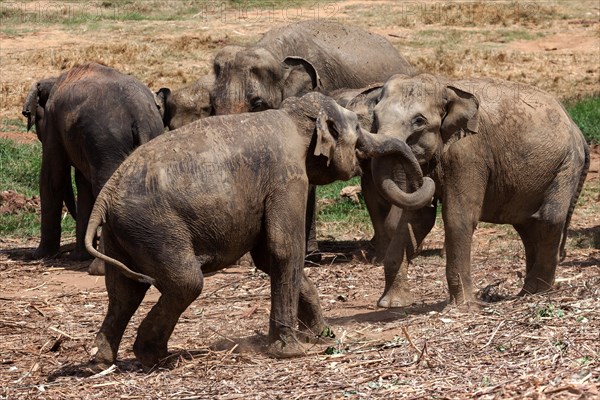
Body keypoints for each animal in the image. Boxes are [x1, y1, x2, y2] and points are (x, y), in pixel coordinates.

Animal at [85, 92, 422, 368]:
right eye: (358, 130)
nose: (424, 180)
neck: (292, 117)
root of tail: (105, 195)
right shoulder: (287, 179)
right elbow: (285, 249)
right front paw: (292, 351)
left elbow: (268, 258)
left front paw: (323, 336)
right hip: (155, 227)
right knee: (185, 282)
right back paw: (152, 356)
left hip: (123, 233)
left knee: (124, 291)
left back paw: (101, 362)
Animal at [340, 73, 588, 308]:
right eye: (375, 117)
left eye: (419, 121)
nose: (424, 181)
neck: (446, 86)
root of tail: (577, 129)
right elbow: (417, 218)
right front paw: (391, 304)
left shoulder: (468, 154)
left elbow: (458, 217)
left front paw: (463, 306)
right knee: (528, 227)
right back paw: (527, 291)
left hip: (567, 164)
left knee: (549, 219)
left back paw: (536, 291)